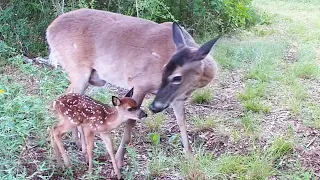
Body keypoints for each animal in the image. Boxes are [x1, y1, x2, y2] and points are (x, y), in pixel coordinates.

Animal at [46, 8, 219, 168]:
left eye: (177, 77)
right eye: (163, 70)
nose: (154, 107)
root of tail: (49, 29)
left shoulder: (176, 98)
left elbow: (182, 122)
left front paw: (190, 157)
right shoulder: (140, 83)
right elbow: (130, 122)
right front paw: (118, 160)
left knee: (69, 96)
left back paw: (77, 144)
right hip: (77, 69)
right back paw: (77, 148)